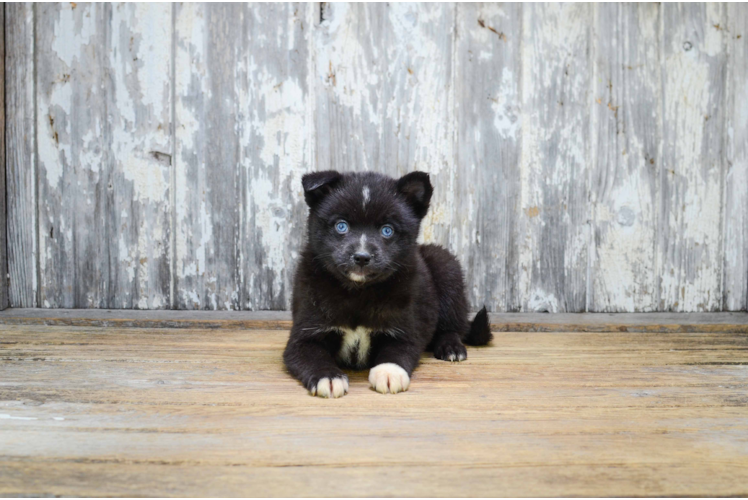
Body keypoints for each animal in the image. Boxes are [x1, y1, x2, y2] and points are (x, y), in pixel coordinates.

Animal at [280, 170, 490, 396]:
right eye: (341, 226)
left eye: (387, 230)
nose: (362, 257)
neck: (358, 292)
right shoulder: (305, 336)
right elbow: (314, 356)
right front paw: (327, 377)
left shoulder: (404, 331)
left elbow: (396, 353)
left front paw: (389, 373)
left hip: (446, 267)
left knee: (452, 327)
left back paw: (451, 348)